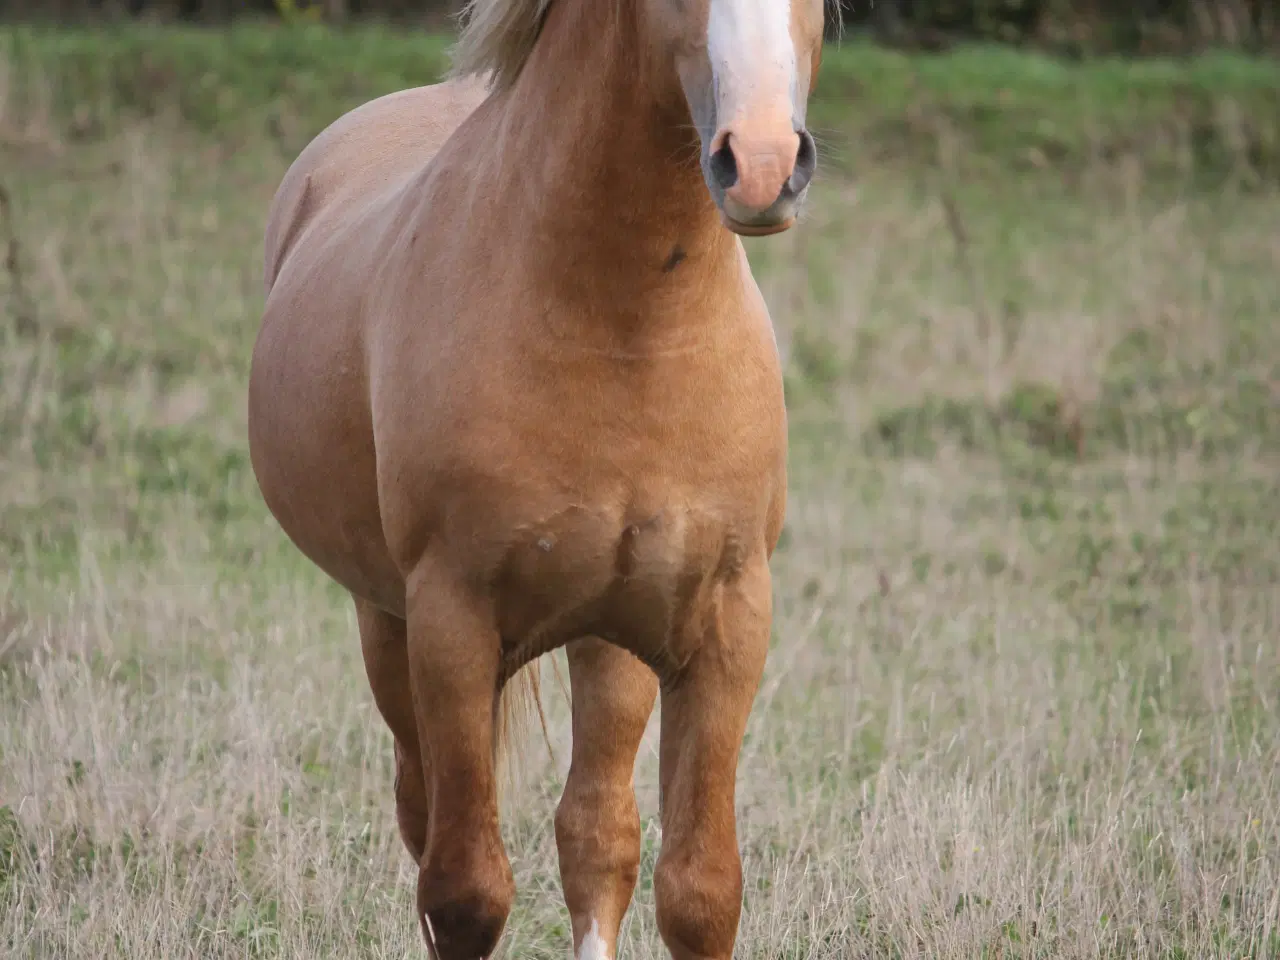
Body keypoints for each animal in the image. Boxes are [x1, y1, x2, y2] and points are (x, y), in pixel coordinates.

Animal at [247, 0, 829, 952]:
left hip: (611, 637)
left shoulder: (728, 620)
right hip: (386, 625)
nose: (763, 165)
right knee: (424, 817)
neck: (625, 328)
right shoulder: (451, 622)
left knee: (596, 835)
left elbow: (697, 892)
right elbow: (465, 892)